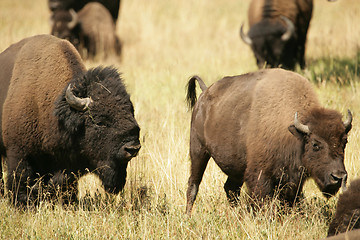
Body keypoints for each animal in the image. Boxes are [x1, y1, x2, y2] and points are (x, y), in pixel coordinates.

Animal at [186, 68, 352, 215]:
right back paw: (188, 215)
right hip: (198, 151)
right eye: (315, 144)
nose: (338, 177)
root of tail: (205, 93)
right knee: (194, 184)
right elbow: (264, 201)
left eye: (344, 142)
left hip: (236, 167)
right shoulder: (260, 175)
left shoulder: (292, 180)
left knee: (231, 188)